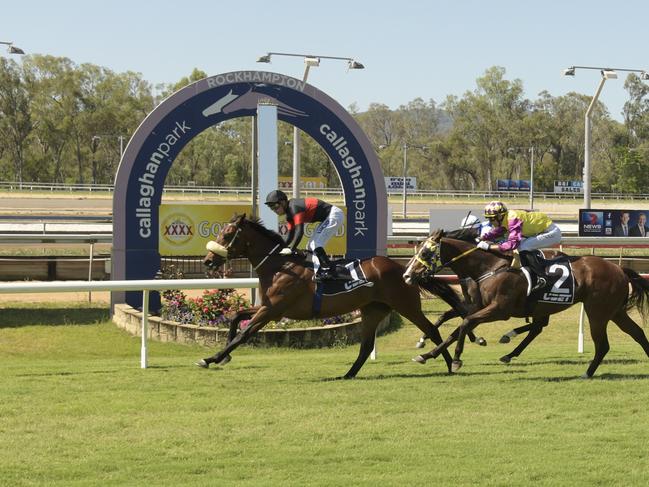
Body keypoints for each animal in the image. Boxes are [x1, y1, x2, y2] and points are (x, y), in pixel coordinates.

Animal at [197, 215, 466, 380]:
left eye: (228, 234)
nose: (208, 261)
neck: (279, 265)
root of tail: (403, 269)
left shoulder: (272, 310)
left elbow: (243, 334)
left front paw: (211, 358)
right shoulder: (269, 307)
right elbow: (235, 316)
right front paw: (224, 357)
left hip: (406, 306)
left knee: (432, 330)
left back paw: (446, 364)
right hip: (373, 309)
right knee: (366, 346)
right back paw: (348, 374)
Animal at [402, 229, 649, 378]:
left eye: (426, 251)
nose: (407, 275)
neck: (489, 267)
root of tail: (620, 269)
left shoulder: (499, 310)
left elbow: (464, 324)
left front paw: (456, 360)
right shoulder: (478, 306)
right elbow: (458, 327)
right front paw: (427, 354)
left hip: (597, 311)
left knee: (602, 344)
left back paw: (587, 373)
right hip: (613, 311)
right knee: (637, 333)